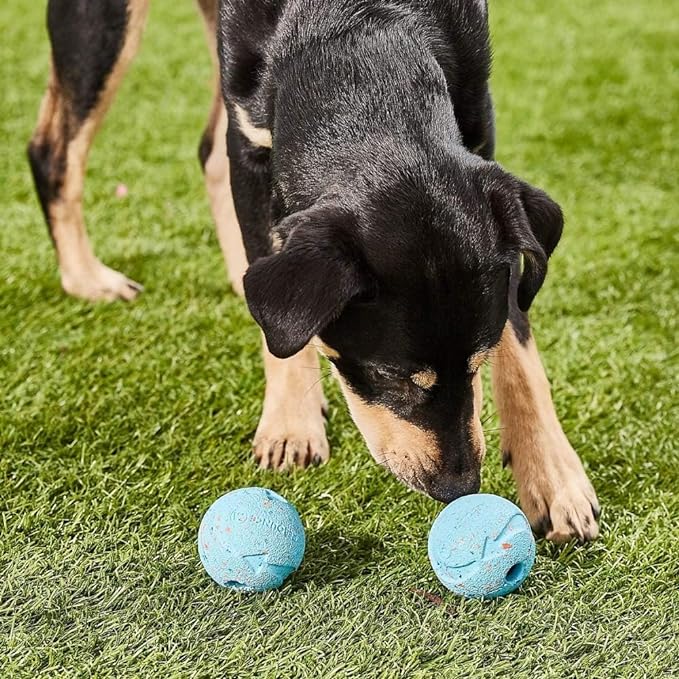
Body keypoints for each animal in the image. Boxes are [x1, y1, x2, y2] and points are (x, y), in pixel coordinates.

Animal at [29, 0, 600, 540]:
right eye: (387, 376)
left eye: (478, 361)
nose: (459, 487)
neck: (355, 36)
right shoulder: (252, 145)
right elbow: (276, 302)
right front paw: (291, 426)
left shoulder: (480, 132)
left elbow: (519, 340)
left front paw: (554, 478)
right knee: (53, 150)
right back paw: (86, 277)